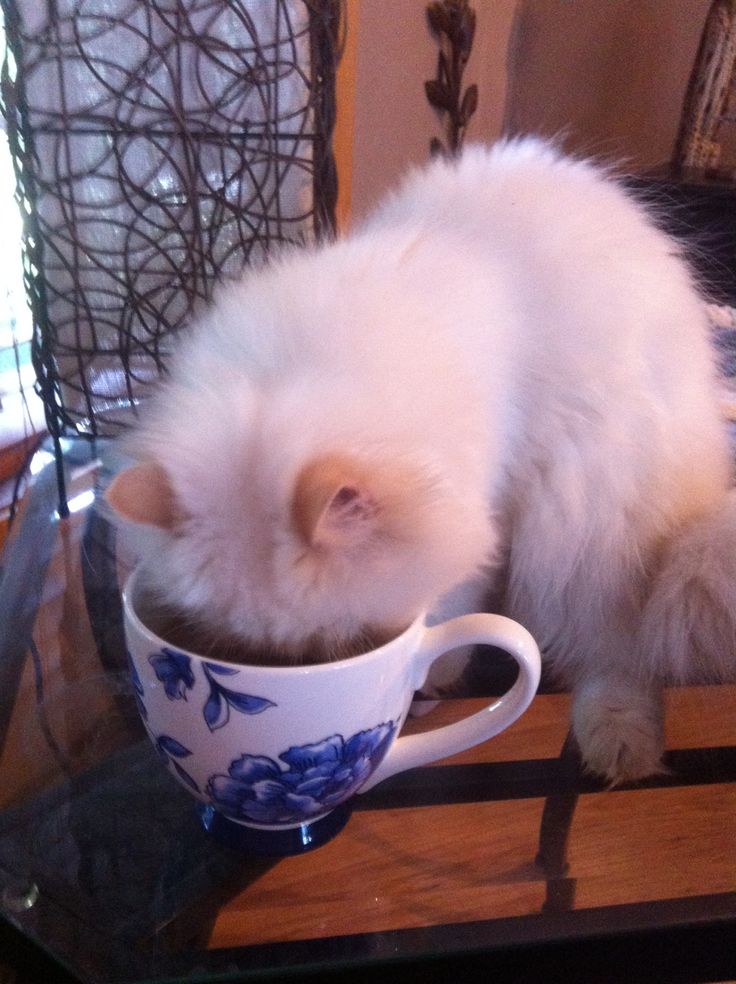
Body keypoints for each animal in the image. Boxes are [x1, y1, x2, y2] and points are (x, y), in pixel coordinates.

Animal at [108, 136, 736, 784]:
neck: (296, 371)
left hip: (586, 524)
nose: (303, 667)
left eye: (345, 641)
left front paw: (434, 671)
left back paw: (620, 744)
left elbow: (455, 603)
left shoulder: (489, 501)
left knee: (618, 653)